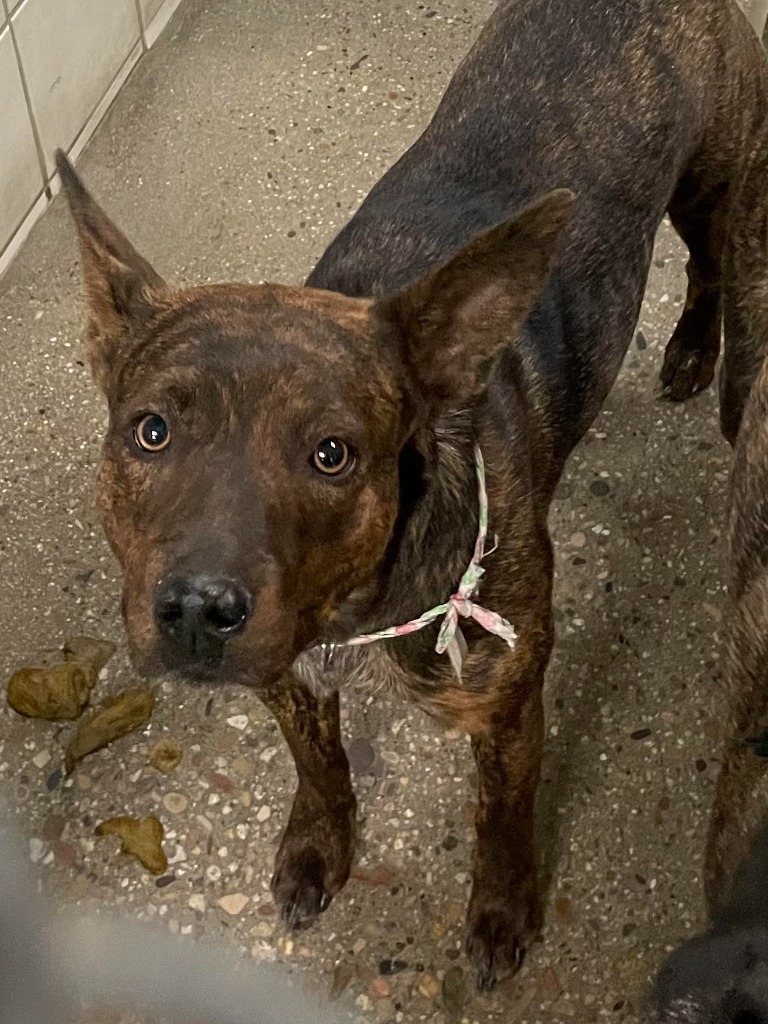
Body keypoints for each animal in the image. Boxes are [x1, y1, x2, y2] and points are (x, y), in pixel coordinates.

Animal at [58, 0, 768, 991]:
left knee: (709, 262)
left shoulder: (505, 705)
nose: (198, 610)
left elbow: (501, 817)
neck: (355, 613)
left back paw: (697, 348)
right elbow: (319, 769)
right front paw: (318, 848)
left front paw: (502, 912)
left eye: (332, 454)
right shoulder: (290, 676)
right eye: (150, 431)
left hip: (714, 184)